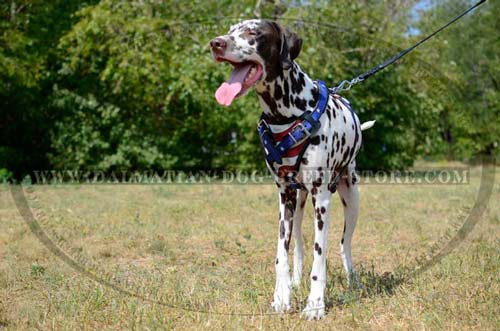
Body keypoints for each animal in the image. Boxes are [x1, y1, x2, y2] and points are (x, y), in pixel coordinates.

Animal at [209, 19, 374, 320]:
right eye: (231, 29)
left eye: (253, 32)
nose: (216, 43)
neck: (286, 114)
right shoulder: (283, 196)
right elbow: (281, 255)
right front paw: (281, 298)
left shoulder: (322, 199)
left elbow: (320, 258)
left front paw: (315, 304)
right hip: (297, 205)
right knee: (298, 245)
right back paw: (295, 281)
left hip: (351, 198)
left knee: (344, 244)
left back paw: (353, 281)